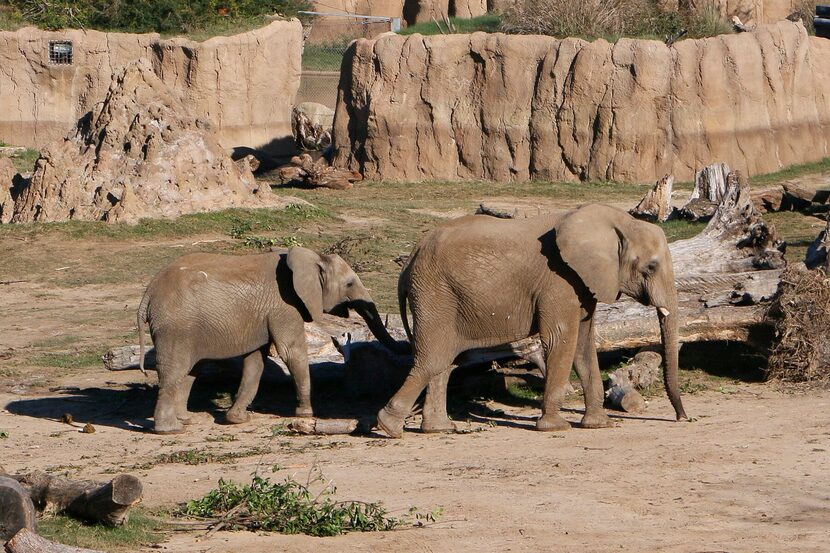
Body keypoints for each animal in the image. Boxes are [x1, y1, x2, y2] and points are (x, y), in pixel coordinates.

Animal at [138, 248, 404, 434]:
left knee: (191, 371)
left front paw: (237, 419)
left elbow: (256, 361)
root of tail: (147, 295)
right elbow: (291, 351)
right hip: (176, 328)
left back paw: (185, 420)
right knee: (175, 370)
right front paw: (305, 414)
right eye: (349, 283)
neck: (310, 256)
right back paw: (171, 430)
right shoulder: (284, 305)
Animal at [376, 203, 688, 436]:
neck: (616, 222)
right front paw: (555, 427)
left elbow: (583, 344)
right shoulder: (559, 280)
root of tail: (410, 258)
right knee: (433, 359)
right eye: (651, 267)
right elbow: (561, 339)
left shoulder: (583, 282)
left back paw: (438, 429)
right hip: (435, 294)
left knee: (444, 361)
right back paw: (389, 427)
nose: (682, 418)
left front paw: (599, 425)